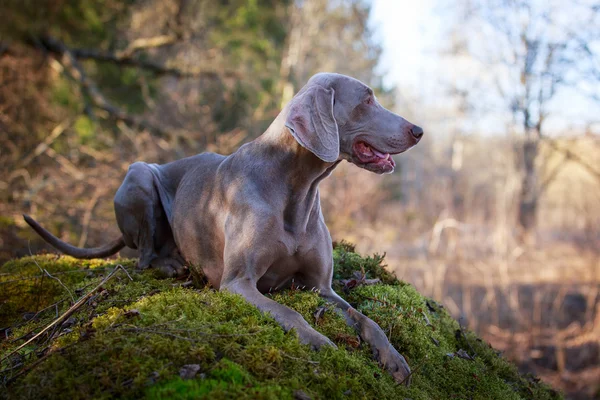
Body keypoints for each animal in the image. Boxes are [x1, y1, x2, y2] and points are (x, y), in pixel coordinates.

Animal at [25, 72, 422, 384]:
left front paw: (394, 358)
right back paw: (170, 264)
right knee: (143, 257)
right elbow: (289, 312)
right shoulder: (238, 282)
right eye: (367, 100)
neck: (294, 184)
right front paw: (318, 342)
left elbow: (366, 320)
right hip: (139, 175)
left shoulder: (320, 288)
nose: (418, 130)